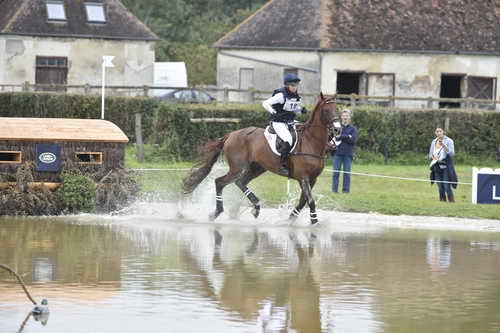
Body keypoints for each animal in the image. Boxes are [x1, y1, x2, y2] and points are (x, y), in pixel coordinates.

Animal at [182, 92, 342, 224]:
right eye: (326, 110)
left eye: (338, 109)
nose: (337, 129)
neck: (311, 141)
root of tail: (231, 135)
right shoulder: (303, 177)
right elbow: (310, 201)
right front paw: (314, 222)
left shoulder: (312, 178)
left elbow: (304, 201)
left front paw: (290, 220)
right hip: (237, 168)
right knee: (220, 182)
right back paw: (217, 212)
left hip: (257, 168)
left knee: (240, 182)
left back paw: (254, 208)